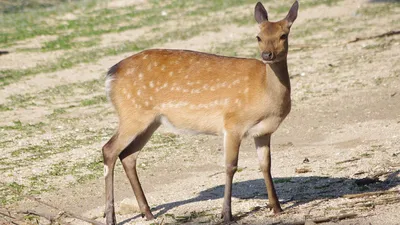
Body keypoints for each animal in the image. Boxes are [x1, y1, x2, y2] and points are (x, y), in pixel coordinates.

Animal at [101, 0, 298, 224]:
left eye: (283, 35)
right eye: (259, 37)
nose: (267, 55)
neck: (266, 95)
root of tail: (110, 75)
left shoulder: (263, 131)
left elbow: (266, 165)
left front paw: (277, 208)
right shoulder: (232, 123)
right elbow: (230, 166)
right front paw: (226, 214)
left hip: (150, 120)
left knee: (128, 155)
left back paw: (147, 212)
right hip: (132, 114)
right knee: (109, 150)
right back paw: (111, 217)